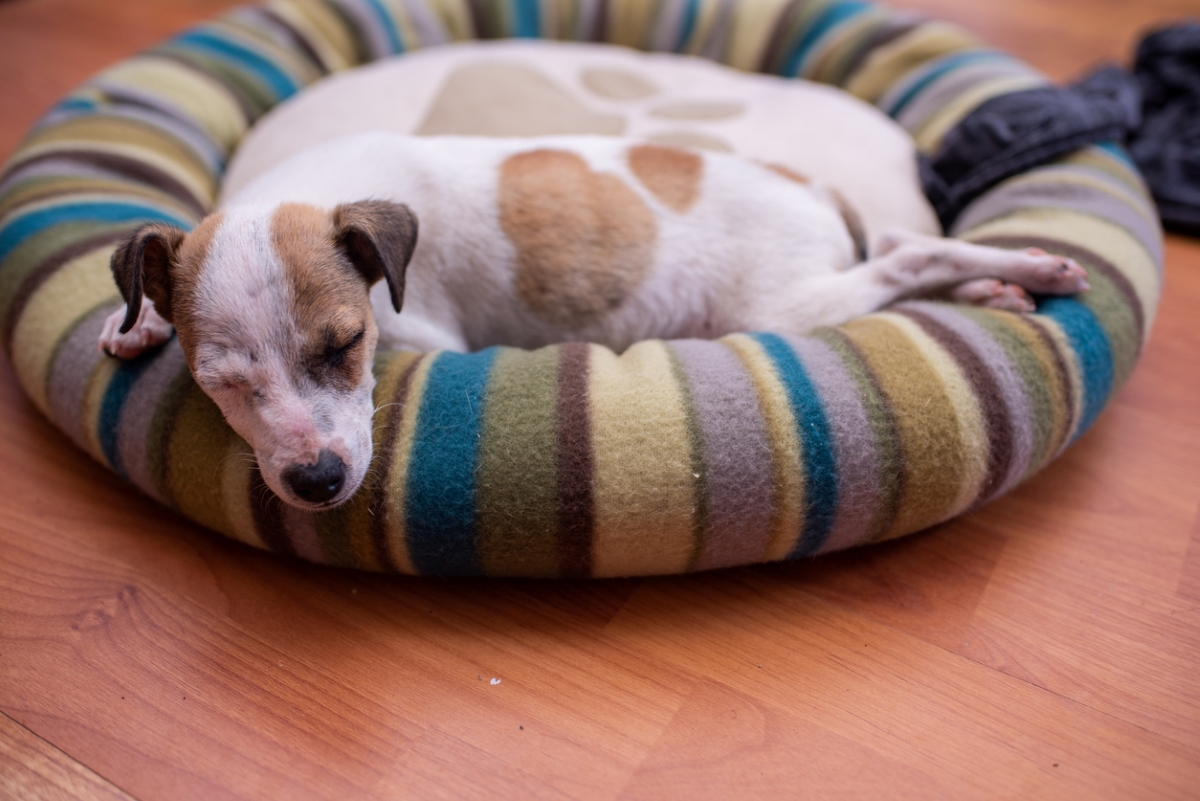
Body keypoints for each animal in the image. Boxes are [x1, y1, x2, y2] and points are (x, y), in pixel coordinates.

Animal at [93, 131, 1089, 510]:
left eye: (346, 346)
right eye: (222, 384)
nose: (316, 481)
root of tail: (811, 187)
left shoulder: (423, 334)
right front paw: (136, 323)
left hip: (784, 303)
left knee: (907, 260)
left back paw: (1023, 267)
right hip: (822, 279)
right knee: (898, 252)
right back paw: (999, 287)